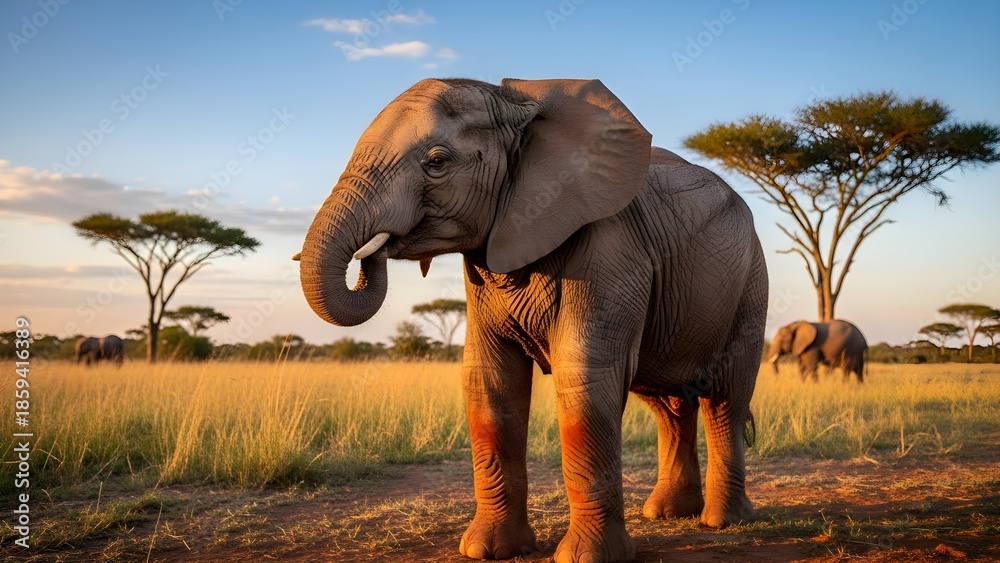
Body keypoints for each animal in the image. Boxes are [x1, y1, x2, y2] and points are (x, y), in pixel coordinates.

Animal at [296, 78, 768, 562]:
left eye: (437, 162)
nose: (374, 250)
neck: (521, 105)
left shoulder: (610, 247)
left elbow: (585, 377)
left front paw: (585, 558)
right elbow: (490, 382)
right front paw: (487, 550)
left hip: (751, 281)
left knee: (726, 399)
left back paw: (723, 521)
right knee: (667, 404)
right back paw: (668, 514)